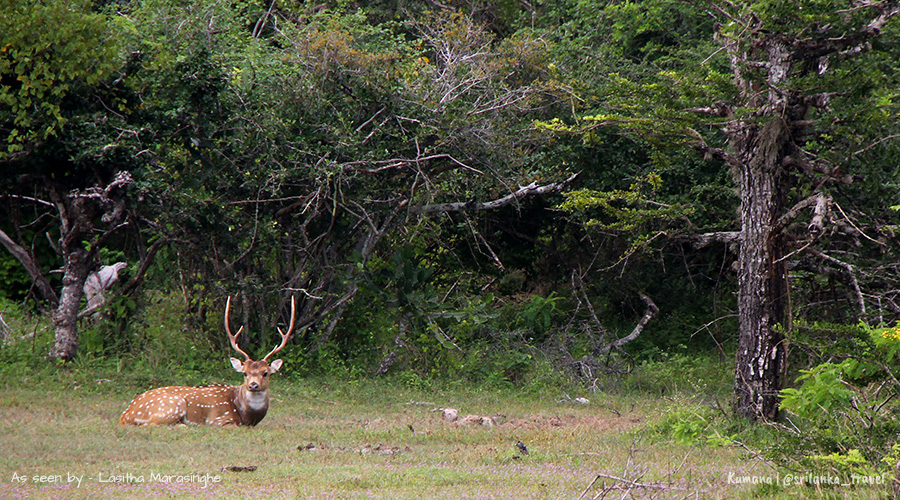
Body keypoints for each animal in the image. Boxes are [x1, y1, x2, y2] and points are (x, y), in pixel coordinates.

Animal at [118, 296, 296, 426]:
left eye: (265, 373)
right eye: (245, 373)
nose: (253, 385)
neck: (247, 417)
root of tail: (125, 415)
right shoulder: (219, 419)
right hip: (172, 405)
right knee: (152, 424)